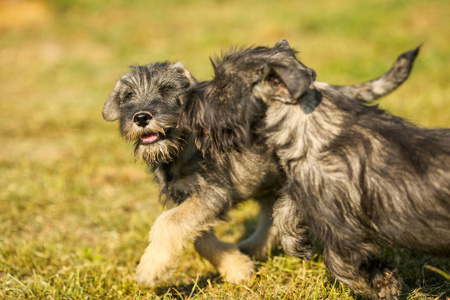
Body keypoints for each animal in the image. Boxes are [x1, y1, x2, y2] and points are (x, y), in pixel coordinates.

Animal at [180, 40, 450, 300]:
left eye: (223, 86)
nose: (187, 100)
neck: (308, 125)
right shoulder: (304, 192)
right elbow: (284, 211)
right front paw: (298, 244)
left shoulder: (343, 230)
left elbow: (341, 265)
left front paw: (383, 286)